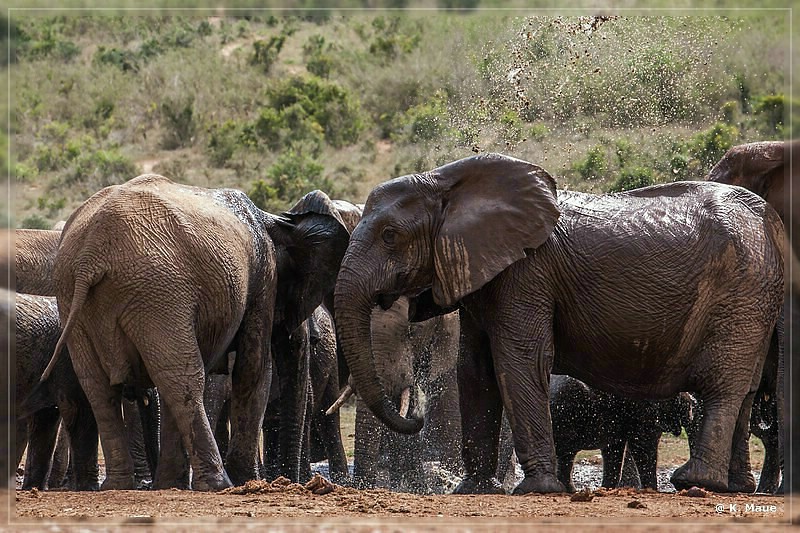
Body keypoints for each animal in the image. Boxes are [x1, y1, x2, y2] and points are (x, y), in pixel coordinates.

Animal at [43, 176, 350, 490]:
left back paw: (123, 485)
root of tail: (89, 256)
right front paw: (246, 479)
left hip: (73, 295)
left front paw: (172, 484)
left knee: (99, 387)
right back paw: (219, 483)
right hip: (158, 291)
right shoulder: (262, 278)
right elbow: (253, 369)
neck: (276, 221)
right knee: (182, 377)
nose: (293, 480)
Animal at [552, 374, 692, 490]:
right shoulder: (641, 414)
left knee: (567, 455)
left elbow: (613, 450)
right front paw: (651, 490)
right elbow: (643, 449)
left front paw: (606, 489)